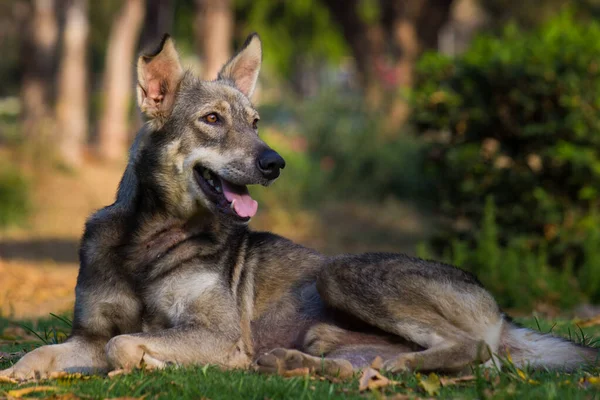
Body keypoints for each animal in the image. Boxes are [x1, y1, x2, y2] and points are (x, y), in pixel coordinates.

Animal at [2, 32, 596, 380]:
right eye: (212, 120)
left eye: (255, 122)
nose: (276, 162)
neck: (149, 237)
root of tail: (502, 313)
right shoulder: (84, 335)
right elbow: (40, 355)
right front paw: (19, 375)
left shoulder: (216, 334)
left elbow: (125, 344)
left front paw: (144, 362)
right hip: (330, 335)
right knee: (379, 366)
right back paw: (300, 364)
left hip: (343, 272)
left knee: (472, 351)